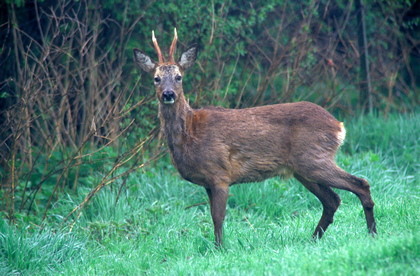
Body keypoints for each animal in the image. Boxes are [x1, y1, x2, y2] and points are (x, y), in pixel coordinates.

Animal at [135, 29, 378, 245]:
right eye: (156, 78)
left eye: (179, 77)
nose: (168, 94)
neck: (191, 134)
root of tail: (338, 125)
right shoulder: (207, 182)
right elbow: (213, 217)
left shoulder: (220, 174)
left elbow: (217, 217)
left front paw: (220, 249)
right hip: (302, 169)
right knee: (332, 200)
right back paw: (313, 239)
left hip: (314, 159)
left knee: (360, 183)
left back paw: (372, 234)